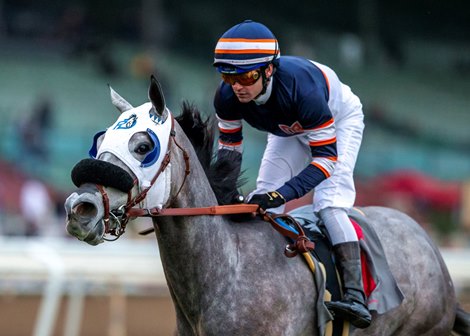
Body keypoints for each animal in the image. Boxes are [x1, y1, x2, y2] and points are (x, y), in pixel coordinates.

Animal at [65, 77, 470, 336]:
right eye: (101, 139)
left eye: (143, 146)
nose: (80, 207)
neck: (229, 271)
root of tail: (425, 240)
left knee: (332, 202)